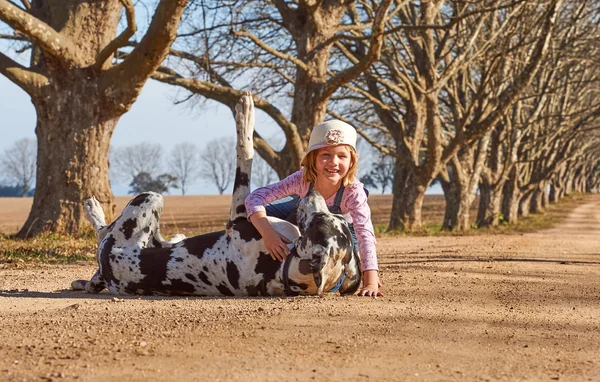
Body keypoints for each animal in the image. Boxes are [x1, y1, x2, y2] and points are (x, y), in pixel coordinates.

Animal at [71, 94, 360, 296]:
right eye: (331, 218)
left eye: (318, 220)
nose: (313, 191)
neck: (281, 269)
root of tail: (106, 273)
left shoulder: (238, 217)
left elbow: (245, 151)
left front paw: (246, 113)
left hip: (149, 198)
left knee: (102, 232)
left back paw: (92, 208)